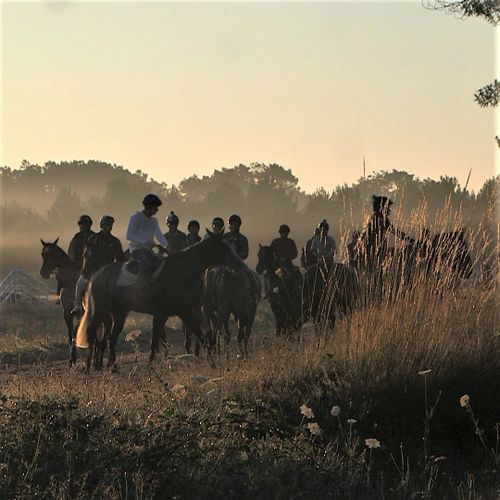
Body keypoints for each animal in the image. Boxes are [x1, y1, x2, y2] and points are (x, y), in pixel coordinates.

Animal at [74, 230, 244, 372]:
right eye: (224, 248)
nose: (238, 264)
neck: (182, 271)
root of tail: (96, 276)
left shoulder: (181, 313)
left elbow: (197, 336)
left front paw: (212, 363)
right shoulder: (168, 313)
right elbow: (157, 341)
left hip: (119, 314)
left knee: (110, 339)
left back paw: (113, 367)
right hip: (100, 311)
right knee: (92, 334)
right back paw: (90, 367)